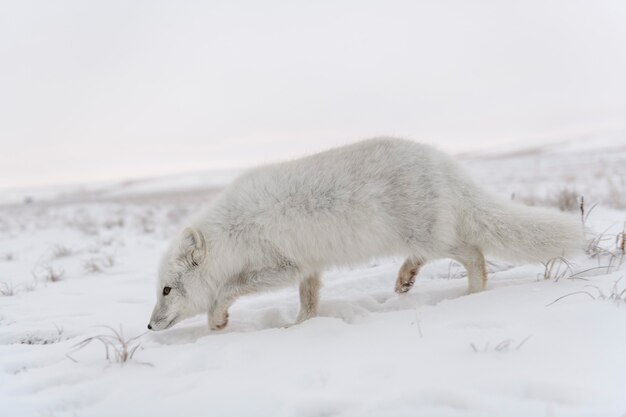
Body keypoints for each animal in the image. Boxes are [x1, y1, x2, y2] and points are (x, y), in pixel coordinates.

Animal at [146, 138, 580, 330]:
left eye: (166, 290)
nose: (149, 327)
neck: (230, 234)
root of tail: (444, 162)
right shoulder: (309, 266)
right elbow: (309, 301)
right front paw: (300, 326)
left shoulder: (282, 265)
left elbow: (228, 288)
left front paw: (217, 318)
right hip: (419, 236)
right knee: (433, 255)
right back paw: (406, 279)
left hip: (428, 234)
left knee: (474, 252)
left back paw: (472, 295)